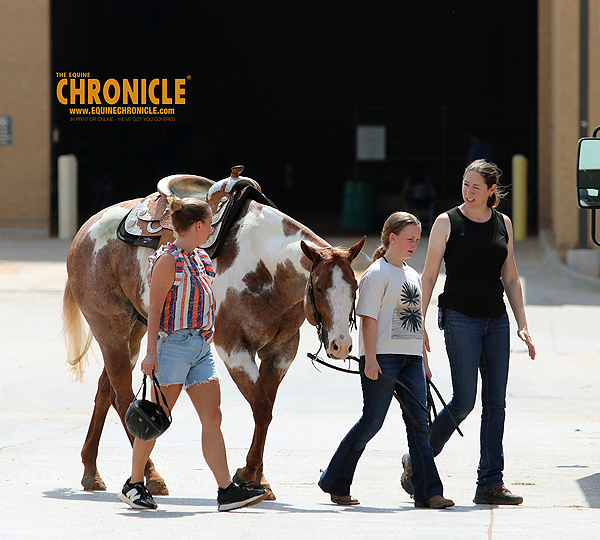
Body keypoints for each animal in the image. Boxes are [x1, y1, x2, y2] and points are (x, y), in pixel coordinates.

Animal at [62, 171, 366, 500]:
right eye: (319, 288)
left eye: (355, 287)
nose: (340, 344)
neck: (264, 264)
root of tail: (85, 231)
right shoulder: (235, 350)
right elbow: (261, 408)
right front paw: (248, 475)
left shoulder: (281, 352)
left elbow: (266, 410)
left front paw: (258, 479)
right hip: (112, 332)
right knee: (123, 398)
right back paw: (151, 476)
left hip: (134, 333)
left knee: (106, 392)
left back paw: (91, 471)